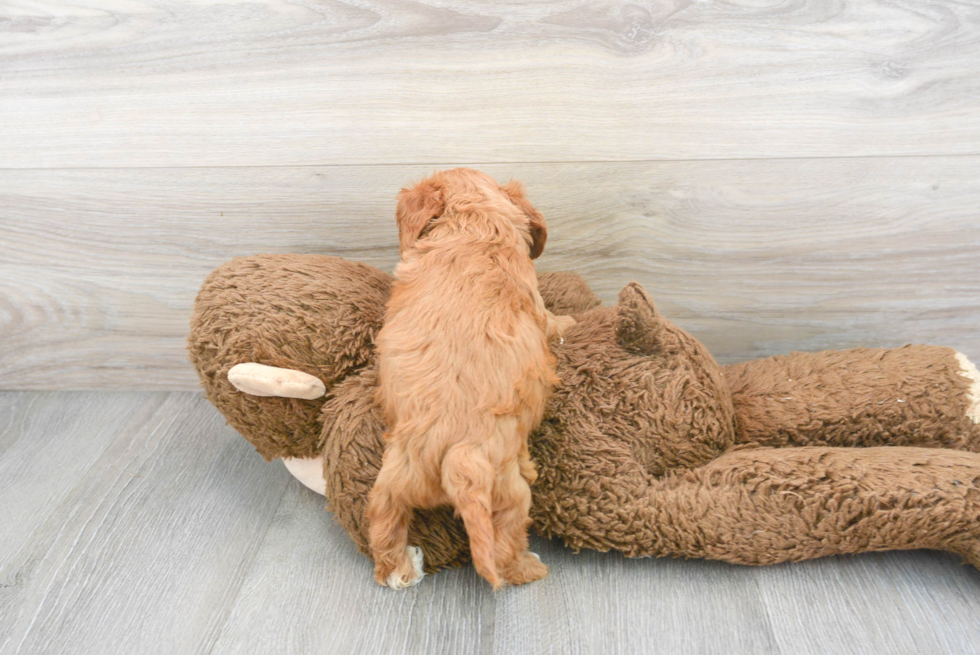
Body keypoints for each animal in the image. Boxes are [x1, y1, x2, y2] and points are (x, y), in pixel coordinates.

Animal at [366, 168, 576, 588]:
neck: (476, 223)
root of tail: (458, 456)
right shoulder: (538, 307)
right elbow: (552, 322)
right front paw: (570, 322)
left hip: (395, 475)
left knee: (383, 518)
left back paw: (399, 570)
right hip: (510, 488)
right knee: (506, 542)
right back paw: (529, 567)